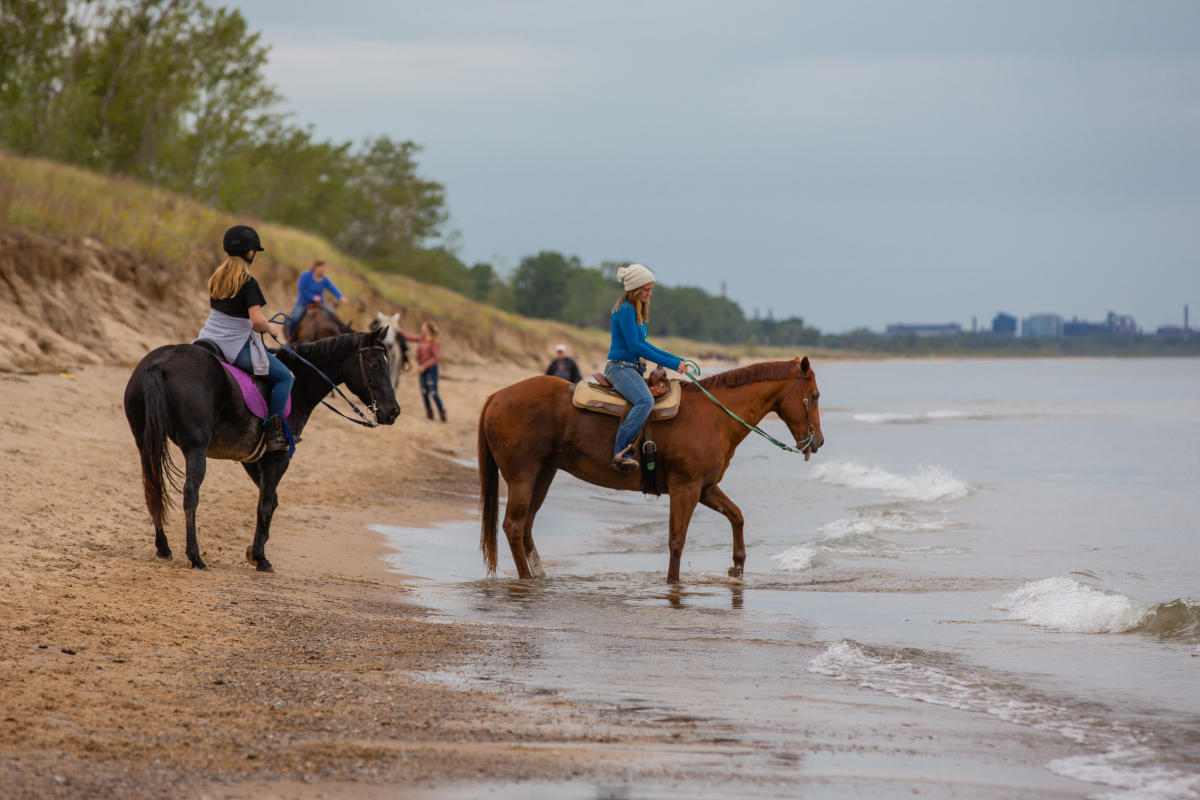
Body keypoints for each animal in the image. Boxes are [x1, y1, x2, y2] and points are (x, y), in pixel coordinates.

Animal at [124, 328, 400, 573]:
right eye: (375, 364)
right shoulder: (278, 455)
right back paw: (195, 556)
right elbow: (266, 503)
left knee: (152, 487)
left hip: (145, 443)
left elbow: (270, 500)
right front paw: (261, 558)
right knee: (190, 494)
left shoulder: (252, 457)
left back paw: (163, 547)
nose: (393, 411)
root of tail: (159, 364)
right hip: (196, 450)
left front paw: (255, 551)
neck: (299, 384)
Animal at [477, 359, 825, 585]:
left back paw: (538, 575)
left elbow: (737, 516)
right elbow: (677, 540)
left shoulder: (705, 488)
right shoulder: (686, 488)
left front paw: (737, 567)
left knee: (526, 527)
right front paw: (673, 584)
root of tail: (496, 396)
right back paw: (525, 579)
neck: (713, 415)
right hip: (522, 476)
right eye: (815, 396)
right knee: (513, 526)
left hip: (544, 474)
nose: (818, 441)